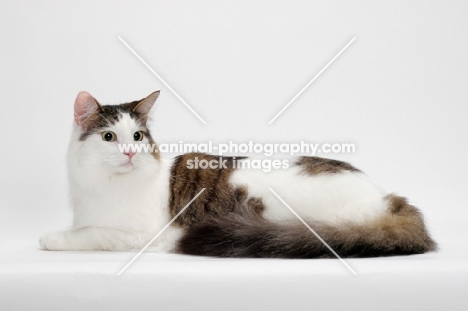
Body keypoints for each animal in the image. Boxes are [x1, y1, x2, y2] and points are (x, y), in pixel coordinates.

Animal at [38, 91, 436, 258]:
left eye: (137, 136)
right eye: (109, 137)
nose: (130, 152)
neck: (99, 184)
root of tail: (389, 198)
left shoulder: (137, 234)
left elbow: (87, 234)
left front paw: (51, 238)